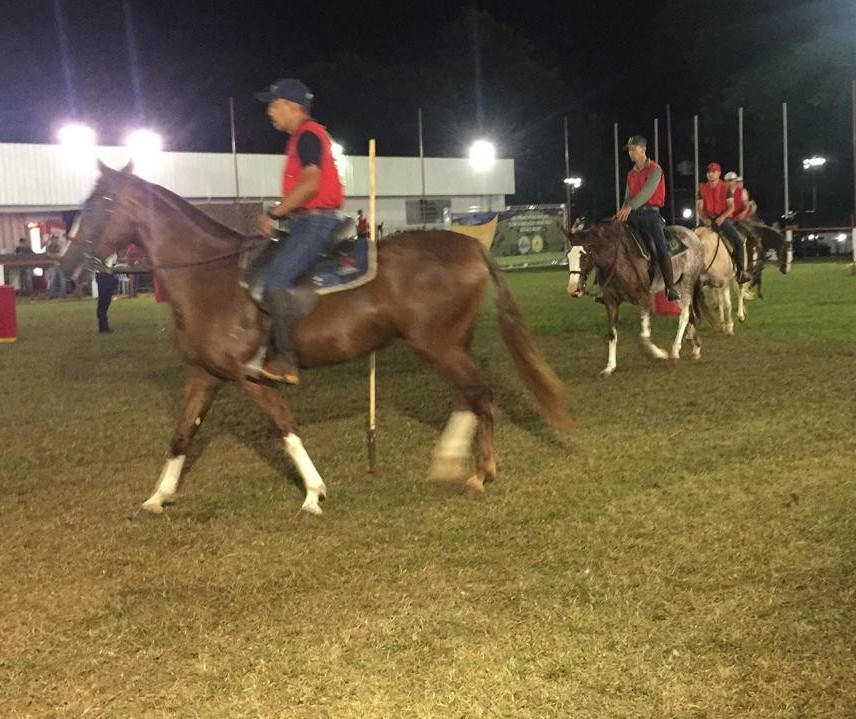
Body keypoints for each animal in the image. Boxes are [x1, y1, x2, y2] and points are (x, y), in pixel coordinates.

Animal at [61, 163, 568, 516]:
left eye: (100, 203)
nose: (67, 268)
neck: (211, 277)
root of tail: (468, 245)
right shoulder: (203, 374)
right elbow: (182, 434)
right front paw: (158, 496)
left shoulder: (252, 378)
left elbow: (285, 427)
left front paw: (312, 493)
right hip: (448, 344)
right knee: (470, 395)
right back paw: (450, 460)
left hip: (438, 345)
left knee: (478, 393)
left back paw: (480, 472)